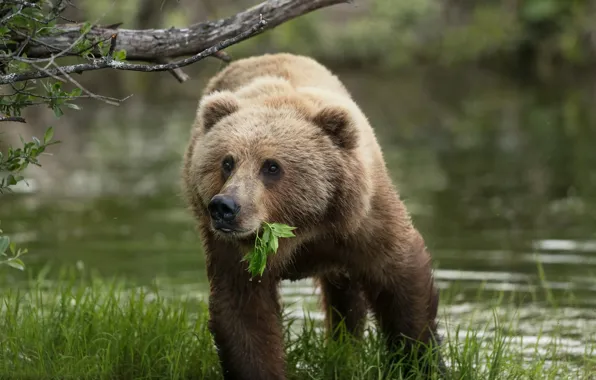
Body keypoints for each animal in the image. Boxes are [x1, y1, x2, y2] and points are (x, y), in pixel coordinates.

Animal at [182, 52, 442, 378]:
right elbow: (243, 314)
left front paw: (421, 361)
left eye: (271, 166)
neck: (303, 228)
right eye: (227, 162)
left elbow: (401, 282)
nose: (225, 207)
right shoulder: (235, 251)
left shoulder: (364, 222)